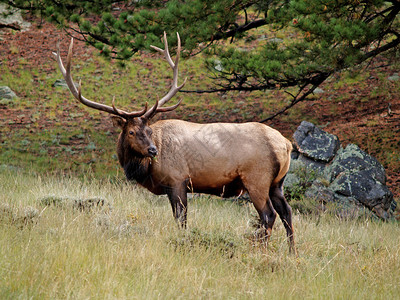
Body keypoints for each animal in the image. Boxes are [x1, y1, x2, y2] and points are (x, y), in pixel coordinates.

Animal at [54, 32, 296, 253]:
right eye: (132, 131)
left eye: (148, 130)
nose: (153, 150)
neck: (145, 170)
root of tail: (286, 144)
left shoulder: (177, 180)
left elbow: (181, 220)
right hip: (277, 182)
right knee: (287, 212)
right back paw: (292, 253)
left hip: (257, 179)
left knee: (268, 215)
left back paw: (260, 250)